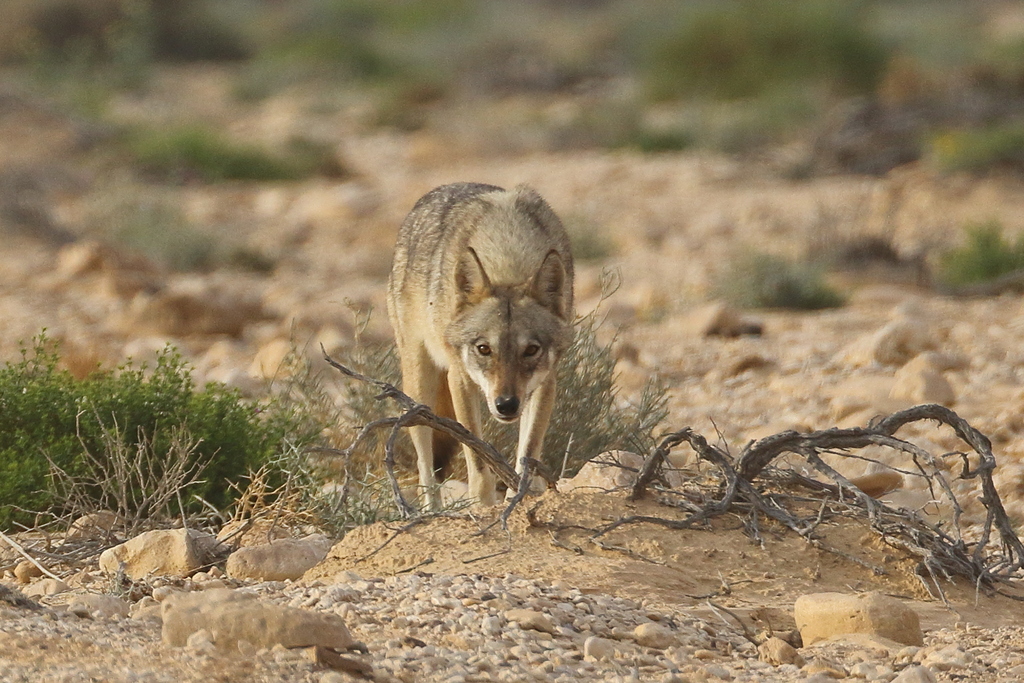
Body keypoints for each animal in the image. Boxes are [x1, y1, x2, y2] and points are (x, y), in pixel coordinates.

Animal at [385, 181, 577, 507]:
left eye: (531, 350)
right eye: (484, 349)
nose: (506, 404)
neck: (508, 256)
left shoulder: (545, 383)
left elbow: (528, 453)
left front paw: (521, 495)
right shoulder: (459, 379)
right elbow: (476, 456)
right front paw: (483, 505)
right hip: (419, 390)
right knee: (425, 467)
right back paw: (430, 511)